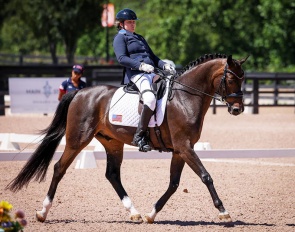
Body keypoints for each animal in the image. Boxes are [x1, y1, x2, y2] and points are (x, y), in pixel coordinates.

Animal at [5, 53, 250, 224]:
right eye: (230, 78)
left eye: (243, 78)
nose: (237, 109)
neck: (184, 98)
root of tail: (80, 92)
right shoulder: (185, 147)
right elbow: (206, 176)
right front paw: (224, 212)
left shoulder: (180, 150)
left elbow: (173, 184)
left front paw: (152, 214)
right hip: (77, 140)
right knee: (59, 168)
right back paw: (42, 212)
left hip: (112, 143)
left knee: (112, 175)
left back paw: (135, 213)